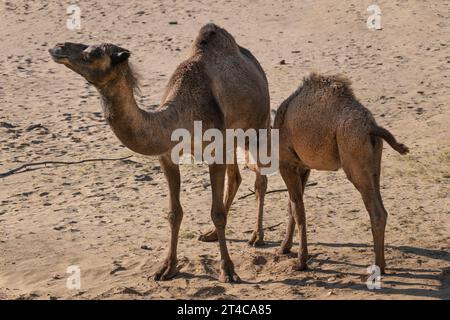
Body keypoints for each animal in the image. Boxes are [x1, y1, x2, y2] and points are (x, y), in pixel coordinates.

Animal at [48, 23, 270, 282]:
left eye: (93, 53)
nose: (58, 47)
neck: (181, 115)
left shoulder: (215, 151)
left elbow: (217, 214)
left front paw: (228, 270)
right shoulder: (167, 157)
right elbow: (174, 213)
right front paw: (167, 267)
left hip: (257, 125)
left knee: (260, 179)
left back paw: (257, 236)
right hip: (232, 138)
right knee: (235, 178)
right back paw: (211, 234)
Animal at [272, 72, 410, 272]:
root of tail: (371, 126)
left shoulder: (287, 164)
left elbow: (298, 210)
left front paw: (301, 261)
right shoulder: (303, 167)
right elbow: (292, 206)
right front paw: (284, 247)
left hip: (353, 155)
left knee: (376, 212)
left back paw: (377, 266)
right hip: (374, 163)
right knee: (381, 206)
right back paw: (381, 265)